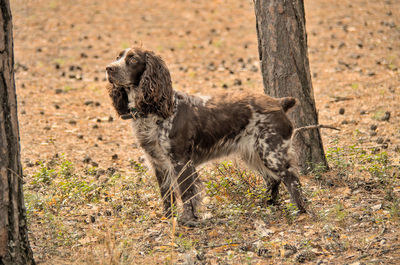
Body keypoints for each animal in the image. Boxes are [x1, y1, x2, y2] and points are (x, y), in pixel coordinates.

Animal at [106, 47, 306, 225]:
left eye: (133, 59)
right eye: (118, 57)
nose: (109, 68)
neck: (154, 111)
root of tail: (279, 103)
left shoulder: (180, 160)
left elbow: (187, 193)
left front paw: (188, 220)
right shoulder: (158, 163)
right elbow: (167, 195)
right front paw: (167, 219)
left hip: (271, 151)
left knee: (292, 179)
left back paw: (300, 211)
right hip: (253, 153)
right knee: (273, 180)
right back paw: (267, 204)